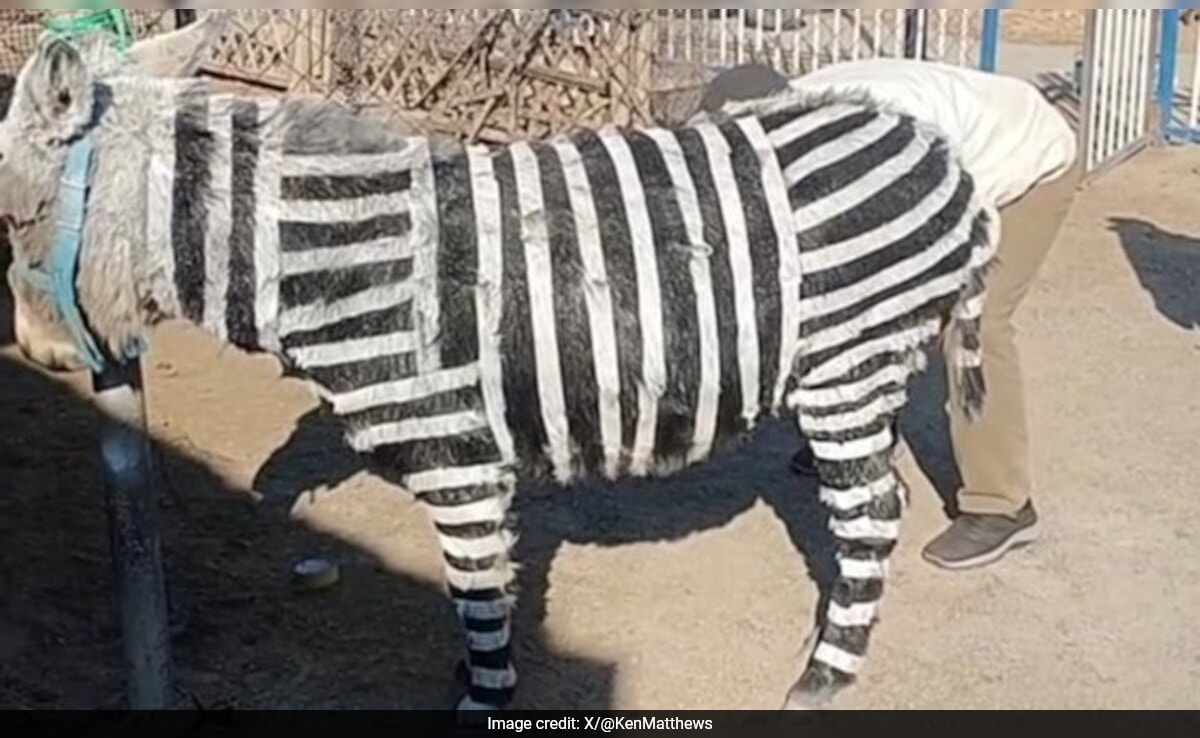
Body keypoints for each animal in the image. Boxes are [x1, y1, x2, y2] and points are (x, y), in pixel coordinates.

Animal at [0, 35, 996, 710]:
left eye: (13, 219)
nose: (45, 360)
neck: (342, 255)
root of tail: (937, 151)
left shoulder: (461, 460)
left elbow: (476, 590)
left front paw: (483, 695)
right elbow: (490, 589)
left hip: (848, 368)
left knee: (870, 516)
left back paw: (825, 675)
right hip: (867, 372)